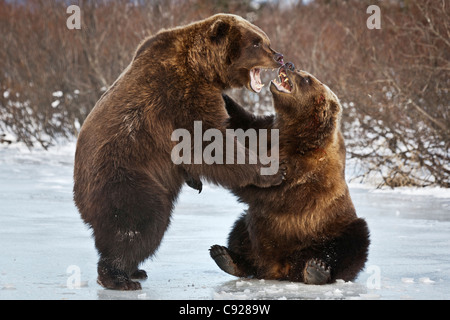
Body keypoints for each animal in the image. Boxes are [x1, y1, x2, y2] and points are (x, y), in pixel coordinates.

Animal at [73, 14, 284, 290]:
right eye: (256, 43)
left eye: (265, 40)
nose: (279, 56)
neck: (202, 69)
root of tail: (80, 200)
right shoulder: (180, 96)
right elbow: (210, 142)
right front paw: (272, 171)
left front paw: (194, 180)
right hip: (125, 179)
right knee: (139, 222)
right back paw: (118, 276)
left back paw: (135, 271)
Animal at [210, 63, 370, 284]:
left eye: (307, 79)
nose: (290, 65)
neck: (294, 132)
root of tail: (281, 269)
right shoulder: (265, 132)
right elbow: (241, 126)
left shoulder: (306, 169)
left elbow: (270, 187)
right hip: (254, 230)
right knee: (240, 229)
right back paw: (226, 257)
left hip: (328, 229)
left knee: (353, 242)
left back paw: (317, 270)